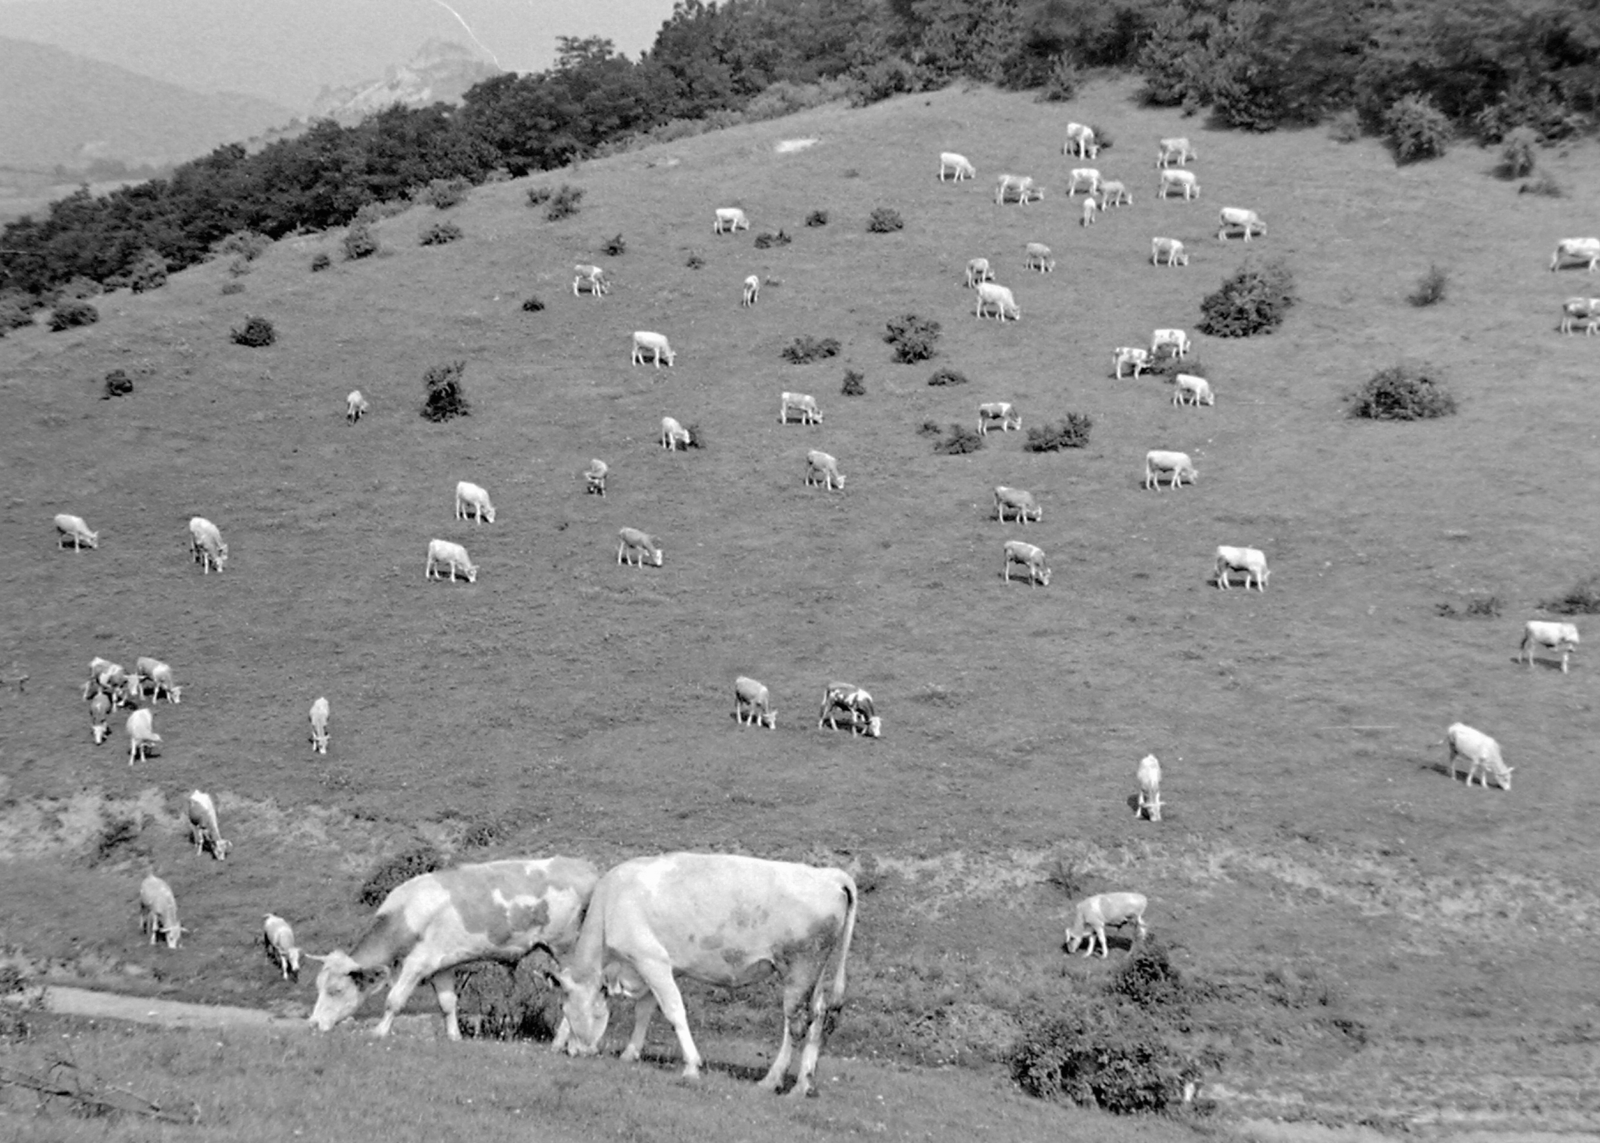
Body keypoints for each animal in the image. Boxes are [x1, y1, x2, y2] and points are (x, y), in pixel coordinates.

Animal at [307, 851, 601, 1037]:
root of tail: (584, 867)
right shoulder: (442, 965)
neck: (409, 913)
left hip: (566, 946)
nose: (313, 1023)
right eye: (318, 987)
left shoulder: (417, 964)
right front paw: (454, 1036)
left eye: (335, 990)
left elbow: (394, 1000)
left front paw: (379, 1032)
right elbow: (448, 1003)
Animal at [550, 851, 857, 1088]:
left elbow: (674, 1011)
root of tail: (831, 875)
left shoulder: (651, 960)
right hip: (815, 972)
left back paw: (772, 1080)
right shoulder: (653, 967)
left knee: (796, 1023)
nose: (573, 1051)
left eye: (565, 1008)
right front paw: (630, 1053)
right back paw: (803, 1083)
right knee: (819, 1015)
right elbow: (645, 1011)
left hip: (799, 969)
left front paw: (691, 1067)